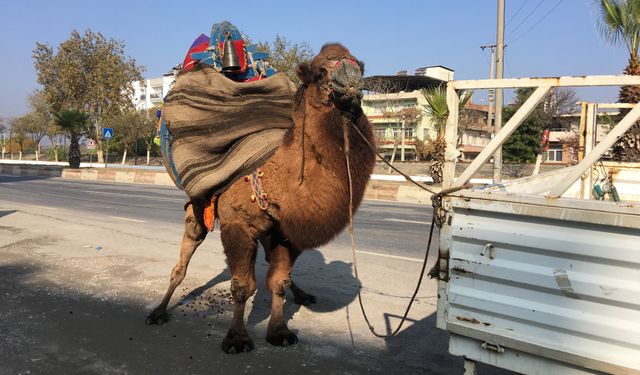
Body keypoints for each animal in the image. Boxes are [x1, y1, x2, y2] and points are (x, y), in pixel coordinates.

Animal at [145, 42, 376, 354]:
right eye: (319, 72)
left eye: (358, 65)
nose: (352, 79)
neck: (277, 177)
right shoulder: (237, 226)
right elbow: (242, 286)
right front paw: (237, 338)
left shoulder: (286, 233)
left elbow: (278, 282)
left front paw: (280, 331)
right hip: (198, 209)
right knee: (184, 257)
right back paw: (158, 311)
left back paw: (303, 295)